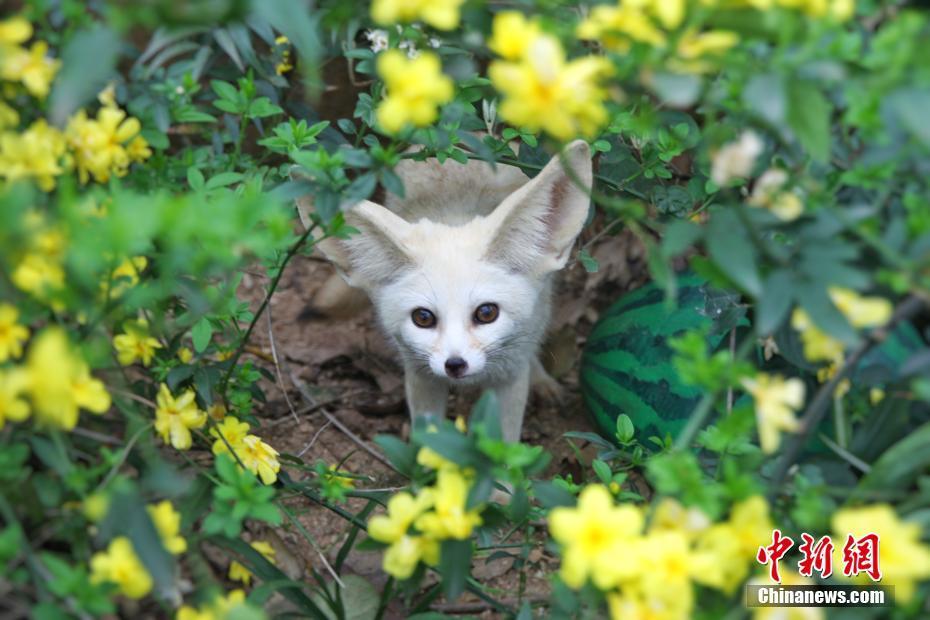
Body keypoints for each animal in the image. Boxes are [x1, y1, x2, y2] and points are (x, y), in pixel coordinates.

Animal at [318, 142, 596, 440]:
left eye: (486, 313)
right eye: (423, 318)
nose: (455, 365)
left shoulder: (510, 377)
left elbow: (506, 442)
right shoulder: (421, 375)